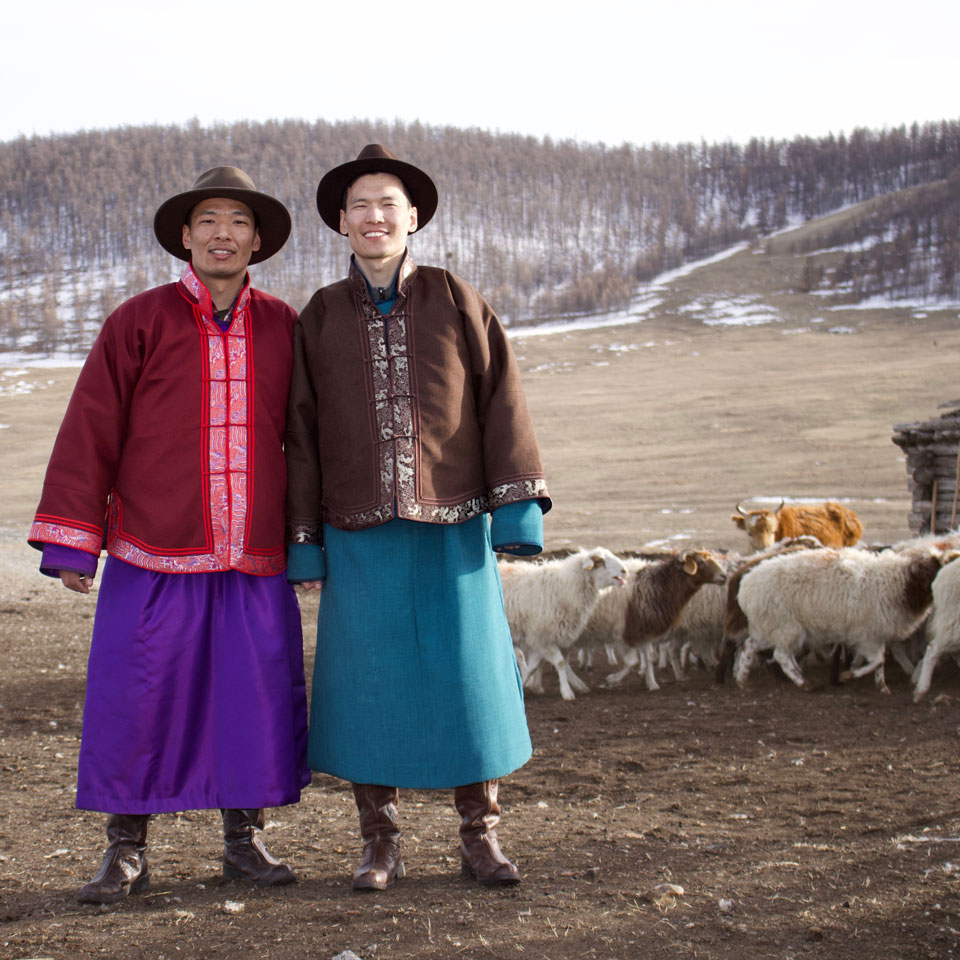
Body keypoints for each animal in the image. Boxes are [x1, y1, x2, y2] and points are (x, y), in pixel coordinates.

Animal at [502, 548, 632, 696]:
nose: (625, 571)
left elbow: (535, 665)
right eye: (600, 562)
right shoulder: (543, 635)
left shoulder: (541, 638)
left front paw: (530, 684)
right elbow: (560, 663)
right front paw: (566, 692)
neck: (565, 587)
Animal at [736, 544, 952, 692]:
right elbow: (877, 660)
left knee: (749, 646)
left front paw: (882, 686)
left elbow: (880, 663)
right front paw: (849, 675)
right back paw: (804, 683)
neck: (901, 583)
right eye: (936, 568)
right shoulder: (866, 635)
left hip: (769, 626)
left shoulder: (877, 633)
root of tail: (746, 586)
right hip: (786, 626)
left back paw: (742, 679)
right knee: (780, 655)